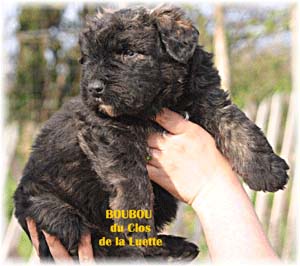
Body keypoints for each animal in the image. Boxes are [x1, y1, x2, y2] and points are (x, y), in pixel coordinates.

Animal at [14, 5, 288, 262]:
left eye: (129, 52)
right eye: (88, 58)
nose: (94, 89)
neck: (160, 100)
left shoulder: (207, 95)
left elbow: (237, 125)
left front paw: (266, 170)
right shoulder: (107, 130)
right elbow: (131, 177)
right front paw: (136, 221)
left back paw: (175, 248)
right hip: (52, 210)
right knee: (98, 243)